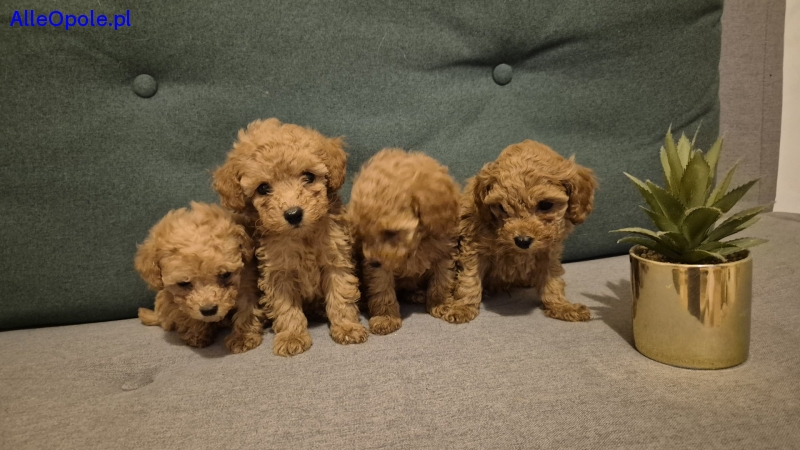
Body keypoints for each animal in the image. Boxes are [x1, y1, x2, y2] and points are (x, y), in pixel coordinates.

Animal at [135, 202, 264, 352]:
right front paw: (196, 335)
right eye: (183, 283)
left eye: (225, 274)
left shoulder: (247, 283)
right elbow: (186, 315)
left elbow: (247, 309)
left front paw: (243, 337)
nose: (209, 311)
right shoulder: (174, 299)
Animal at [213, 118, 367, 356]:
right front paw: (292, 336)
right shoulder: (278, 272)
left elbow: (341, 294)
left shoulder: (336, 259)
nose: (293, 214)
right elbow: (285, 307)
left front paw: (347, 327)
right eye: (263, 188)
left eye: (308, 177)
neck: (302, 236)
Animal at [348, 149, 464, 334]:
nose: (373, 262)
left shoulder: (444, 252)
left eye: (391, 233)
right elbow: (382, 287)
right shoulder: (380, 267)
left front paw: (440, 304)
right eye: (362, 232)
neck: (416, 244)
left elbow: (442, 280)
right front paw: (385, 317)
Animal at [451, 140, 598, 321]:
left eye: (545, 205)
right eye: (501, 207)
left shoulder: (548, 251)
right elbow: (469, 278)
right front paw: (462, 307)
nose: (522, 241)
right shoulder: (474, 247)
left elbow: (552, 279)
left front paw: (560, 306)